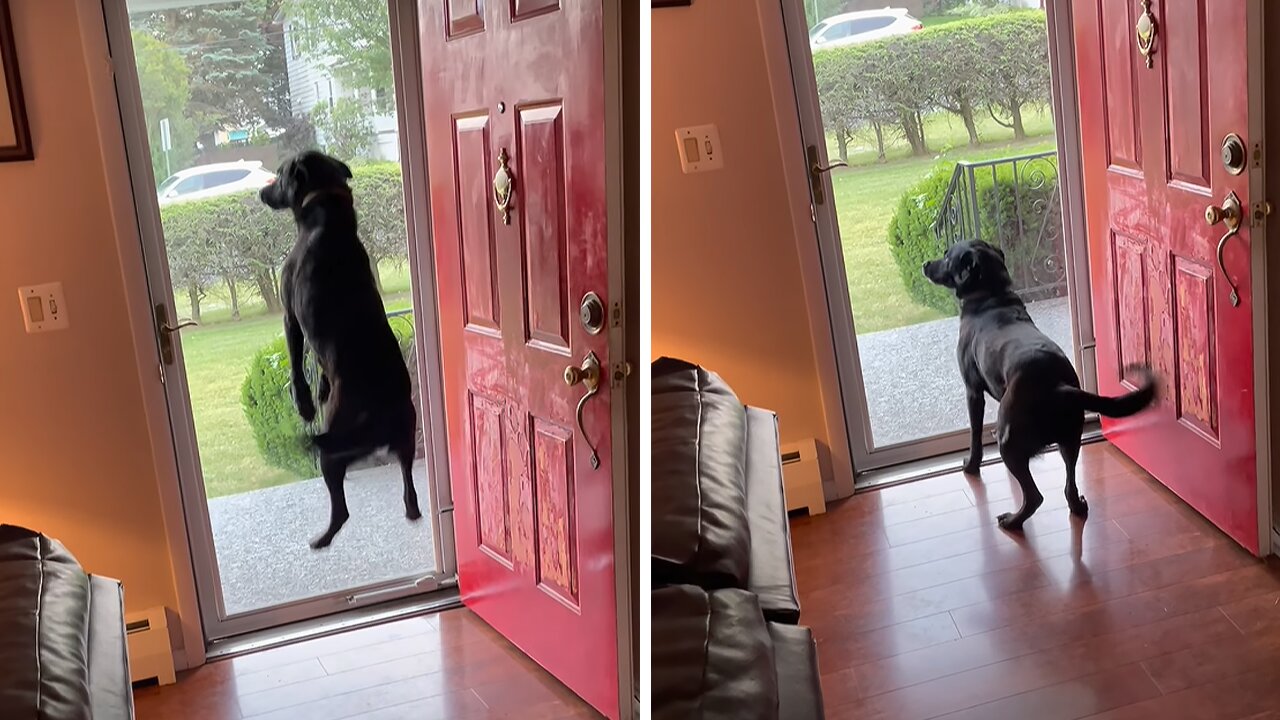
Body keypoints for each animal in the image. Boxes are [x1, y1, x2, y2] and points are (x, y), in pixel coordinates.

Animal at [259, 148, 419, 545]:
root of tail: (380, 418)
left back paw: (322, 539)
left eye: (280, 176)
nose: (260, 192)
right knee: (410, 495)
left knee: (342, 510)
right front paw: (321, 389)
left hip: (332, 450)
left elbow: (297, 363)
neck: (326, 208)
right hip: (406, 442)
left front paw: (304, 402)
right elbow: (318, 366)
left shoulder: (290, 317)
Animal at [921, 239, 1162, 527]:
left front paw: (971, 465)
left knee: (1035, 496)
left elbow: (975, 433)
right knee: (1069, 486)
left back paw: (1012, 521)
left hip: (1012, 443)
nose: (925, 263)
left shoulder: (972, 390)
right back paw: (1077, 506)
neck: (991, 294)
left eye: (947, 256)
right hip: (1070, 438)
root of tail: (1056, 385)